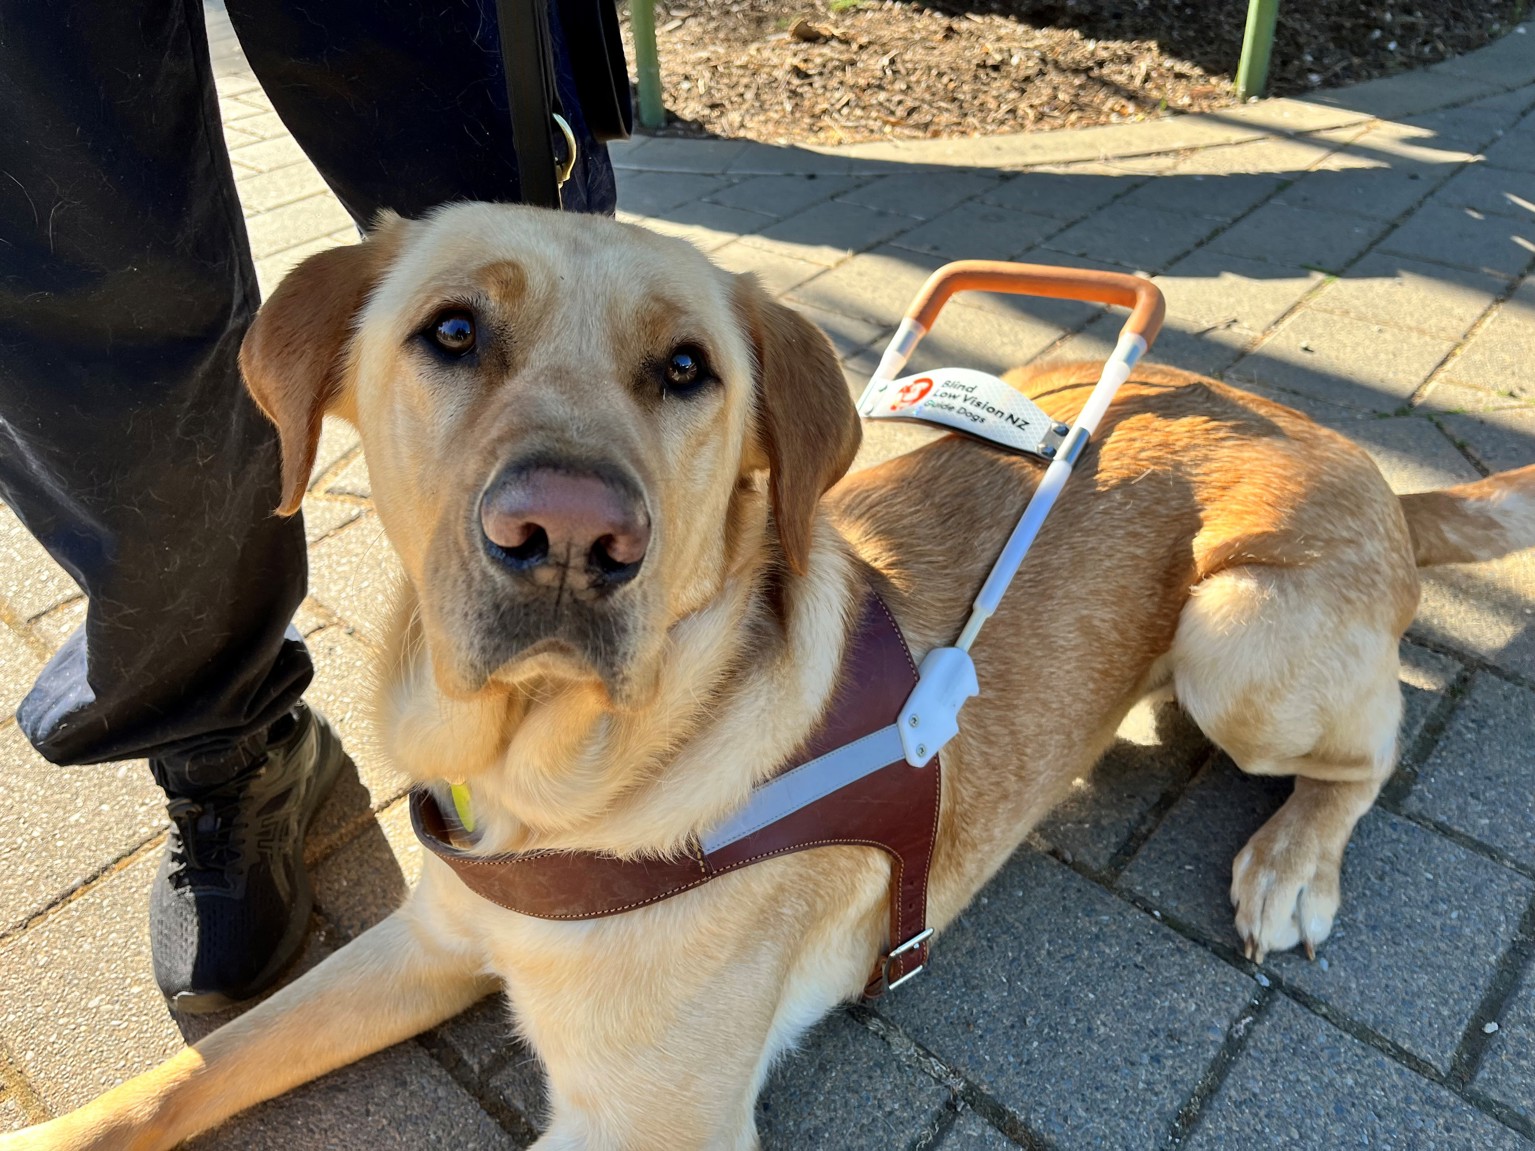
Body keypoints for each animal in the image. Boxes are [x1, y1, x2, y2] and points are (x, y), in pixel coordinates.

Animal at [5, 202, 1528, 1147]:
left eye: (688, 368)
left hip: (1234, 633)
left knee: (1374, 737)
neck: (551, 776)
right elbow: (188, 1070)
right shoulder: (426, 938)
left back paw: (1290, 857)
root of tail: (1372, 473)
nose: (569, 537)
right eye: (448, 332)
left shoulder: (642, 1121)